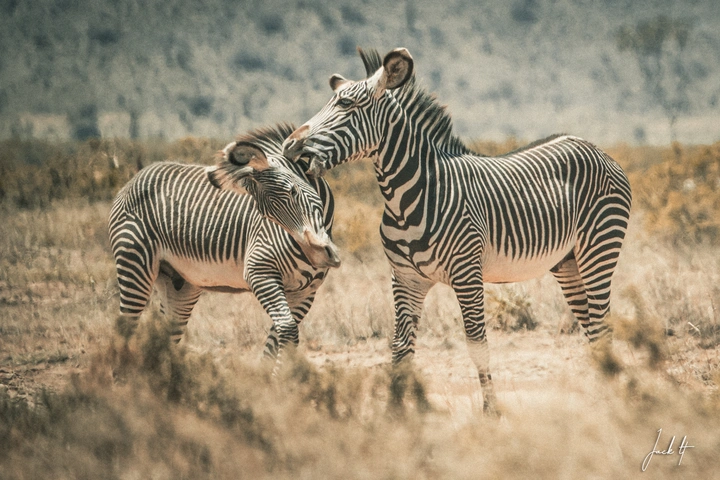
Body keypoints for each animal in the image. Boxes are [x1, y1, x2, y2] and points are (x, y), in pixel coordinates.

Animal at [109, 124, 340, 367]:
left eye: (294, 191)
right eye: (268, 216)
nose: (320, 255)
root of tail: (138, 175)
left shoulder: (305, 292)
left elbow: (278, 341)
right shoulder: (260, 272)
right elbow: (287, 332)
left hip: (178, 283)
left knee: (165, 337)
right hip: (134, 264)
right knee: (126, 328)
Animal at [282, 48, 632, 413]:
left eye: (346, 104)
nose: (289, 146)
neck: (406, 197)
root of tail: (594, 147)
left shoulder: (467, 273)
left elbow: (477, 344)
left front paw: (491, 412)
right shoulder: (405, 278)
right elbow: (400, 348)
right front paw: (393, 413)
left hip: (598, 249)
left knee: (602, 326)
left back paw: (608, 399)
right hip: (568, 263)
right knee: (592, 329)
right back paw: (599, 394)